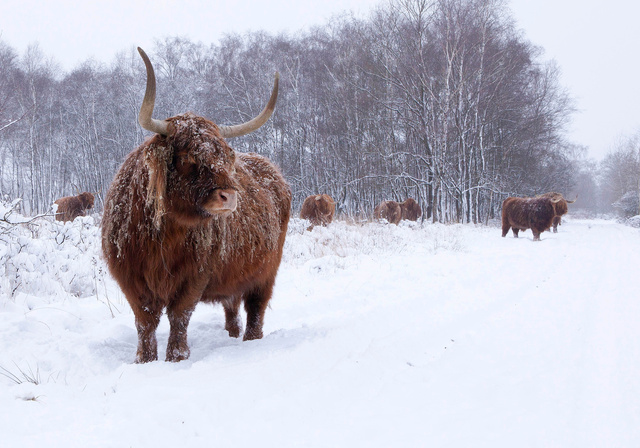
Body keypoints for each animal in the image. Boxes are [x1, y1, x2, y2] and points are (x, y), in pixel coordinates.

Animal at [101, 48, 292, 364]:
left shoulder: (196, 275)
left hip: (267, 271)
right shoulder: (130, 278)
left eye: (226, 156)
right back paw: (231, 335)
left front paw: (176, 357)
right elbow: (145, 320)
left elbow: (180, 315)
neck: (162, 236)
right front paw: (144, 359)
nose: (229, 196)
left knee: (256, 307)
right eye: (188, 157)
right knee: (232, 306)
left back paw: (250, 341)